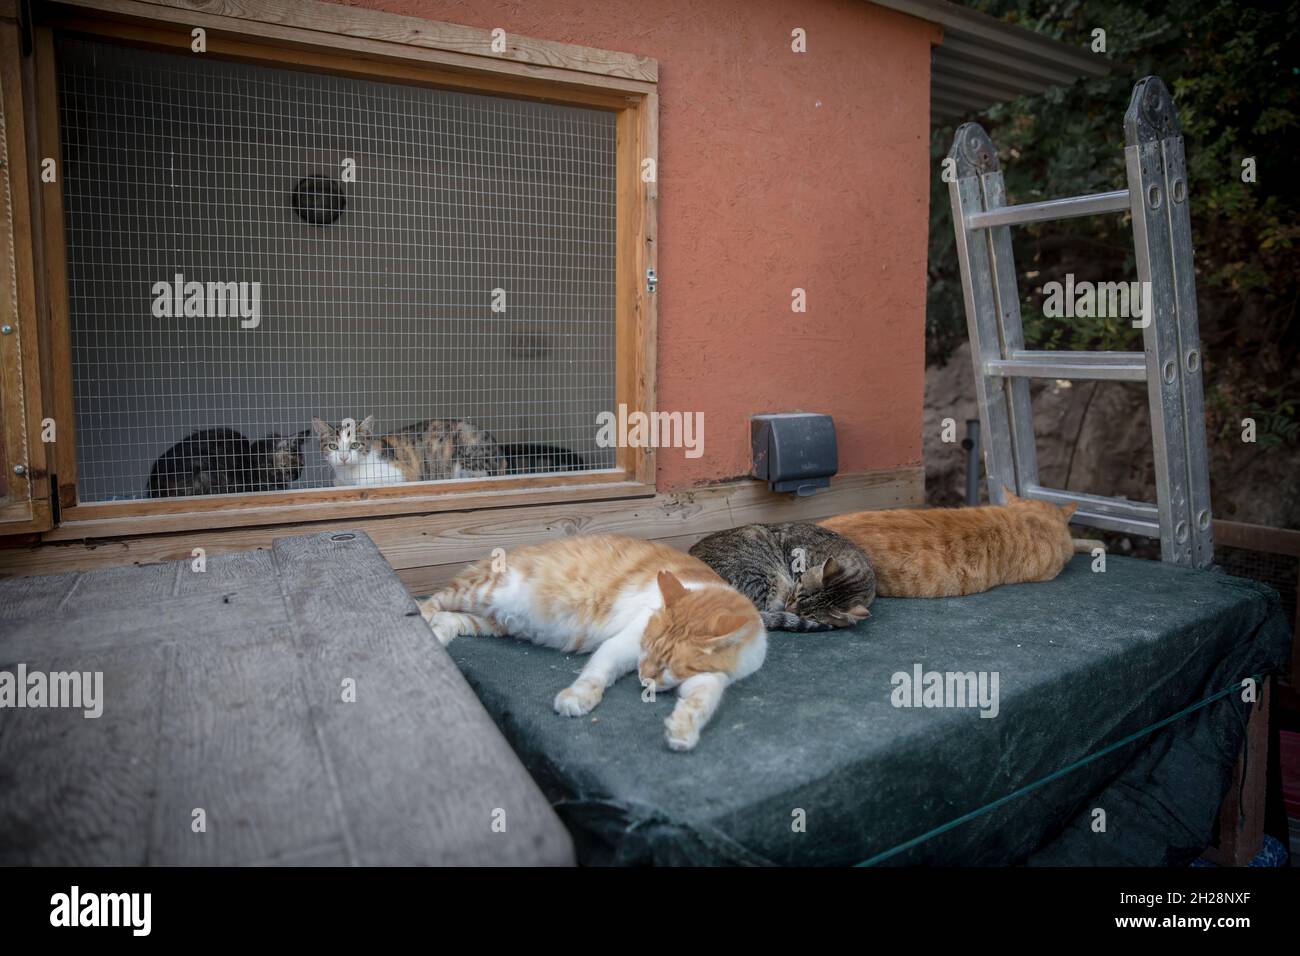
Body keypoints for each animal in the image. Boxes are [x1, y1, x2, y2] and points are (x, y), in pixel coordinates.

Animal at [416, 535, 764, 749]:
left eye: (668, 666)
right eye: (647, 649)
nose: (643, 677)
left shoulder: (710, 678)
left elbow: (701, 701)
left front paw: (682, 729)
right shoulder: (624, 644)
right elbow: (596, 673)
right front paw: (577, 698)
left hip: (494, 621)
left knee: (450, 619)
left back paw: (438, 634)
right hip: (481, 592)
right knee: (434, 603)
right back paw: (422, 621)